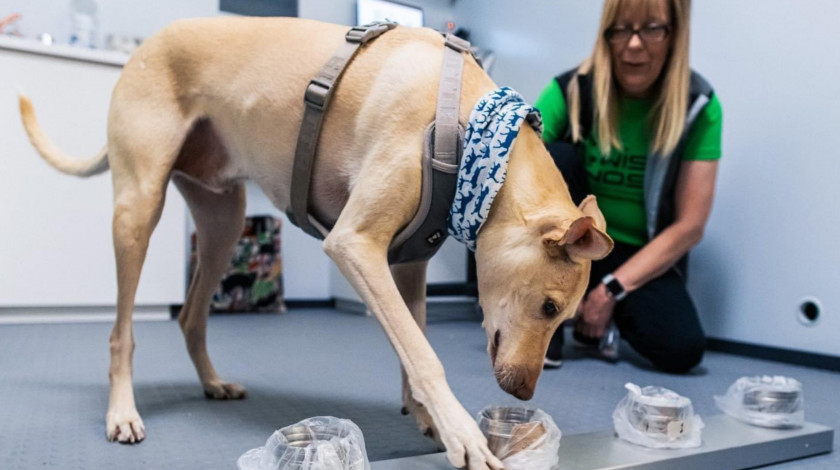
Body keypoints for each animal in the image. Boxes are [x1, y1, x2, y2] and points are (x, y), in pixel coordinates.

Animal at [19, 17, 613, 470]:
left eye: (565, 317)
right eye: (549, 307)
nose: (523, 394)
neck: (474, 136)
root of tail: (147, 43)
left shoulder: (409, 264)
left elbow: (413, 342)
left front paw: (426, 417)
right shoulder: (354, 246)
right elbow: (424, 355)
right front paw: (462, 432)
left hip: (223, 223)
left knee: (190, 316)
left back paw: (213, 382)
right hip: (138, 210)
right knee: (121, 334)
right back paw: (122, 412)